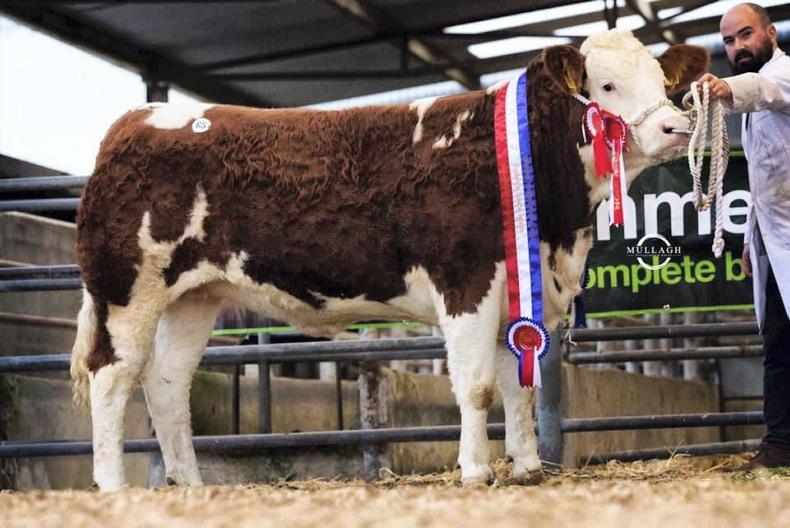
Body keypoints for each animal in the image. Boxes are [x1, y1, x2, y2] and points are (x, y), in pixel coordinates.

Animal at [70, 30, 708, 491]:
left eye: (661, 80)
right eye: (606, 86)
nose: (677, 127)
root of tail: (134, 121)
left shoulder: (517, 295)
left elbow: (519, 386)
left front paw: (527, 467)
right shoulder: (466, 280)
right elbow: (477, 385)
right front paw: (476, 470)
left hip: (194, 296)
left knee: (167, 382)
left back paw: (191, 485)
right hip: (126, 288)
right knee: (113, 374)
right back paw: (112, 487)